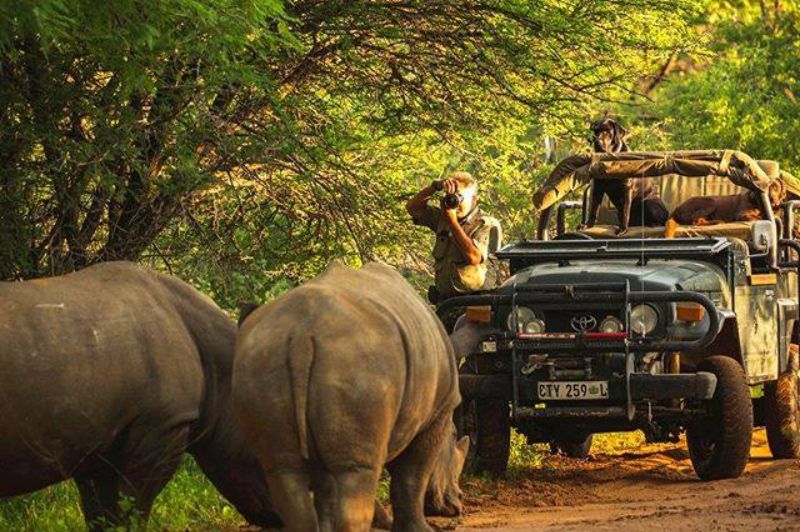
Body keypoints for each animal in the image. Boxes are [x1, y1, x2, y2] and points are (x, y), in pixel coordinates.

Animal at [233, 262, 468, 532]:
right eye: (454, 443)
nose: (458, 505)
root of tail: (302, 336)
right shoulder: (440, 410)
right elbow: (413, 477)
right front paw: (420, 530)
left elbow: (326, 489)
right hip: (359, 363)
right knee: (356, 473)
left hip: (262, 362)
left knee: (283, 470)